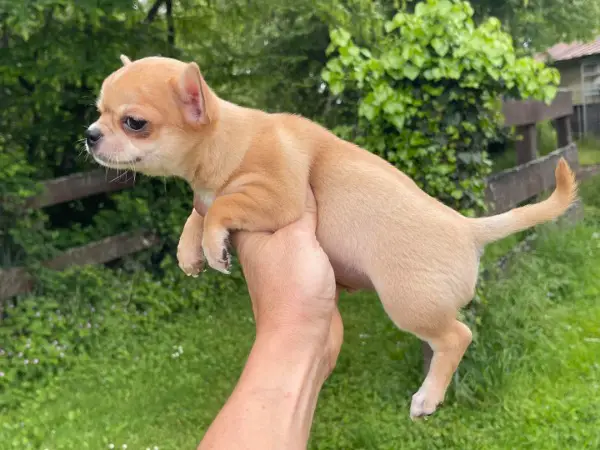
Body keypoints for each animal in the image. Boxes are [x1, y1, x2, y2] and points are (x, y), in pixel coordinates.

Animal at [86, 55, 577, 418]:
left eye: (134, 123)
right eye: (98, 112)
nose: (89, 134)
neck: (226, 139)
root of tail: (466, 227)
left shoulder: (278, 198)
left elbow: (220, 208)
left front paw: (210, 246)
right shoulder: (210, 196)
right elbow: (198, 211)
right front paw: (189, 252)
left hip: (410, 304)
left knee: (457, 336)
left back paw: (428, 397)